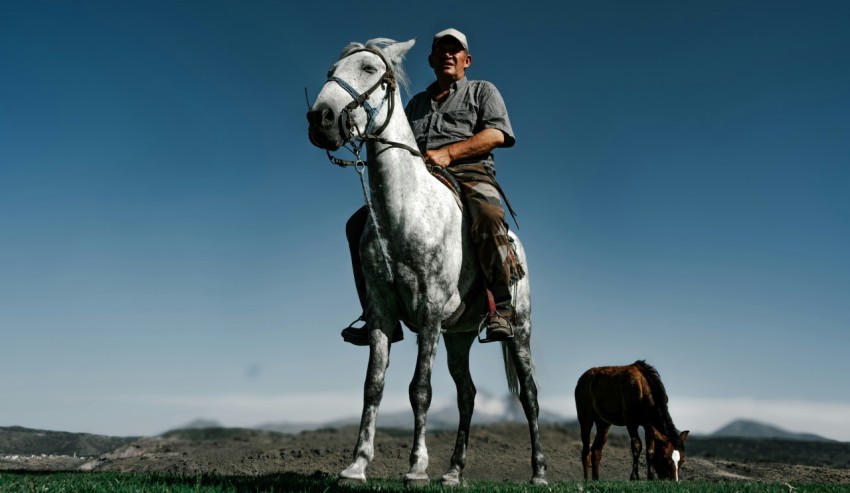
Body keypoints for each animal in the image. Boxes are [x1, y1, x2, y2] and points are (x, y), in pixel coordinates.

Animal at [308, 37, 548, 484]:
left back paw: (538, 472)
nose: (320, 119)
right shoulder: (383, 313)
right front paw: (357, 464)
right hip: (459, 337)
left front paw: (416, 467)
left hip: (520, 331)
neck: (405, 214)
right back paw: (454, 471)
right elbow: (373, 386)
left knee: (530, 395)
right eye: (331, 70)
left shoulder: (431, 312)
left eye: (370, 69)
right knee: (467, 395)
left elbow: (420, 389)